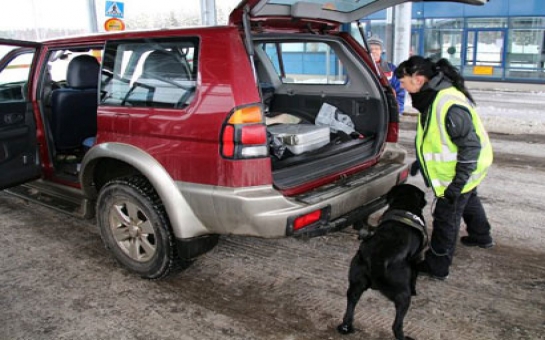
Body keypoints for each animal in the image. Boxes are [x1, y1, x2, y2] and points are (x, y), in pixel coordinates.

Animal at [336, 183, 430, 340]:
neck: (405, 203)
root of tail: (378, 258)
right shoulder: (417, 258)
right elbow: (414, 276)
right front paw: (415, 290)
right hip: (403, 296)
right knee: (396, 325)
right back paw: (403, 336)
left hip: (355, 282)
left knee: (350, 305)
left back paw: (346, 326)